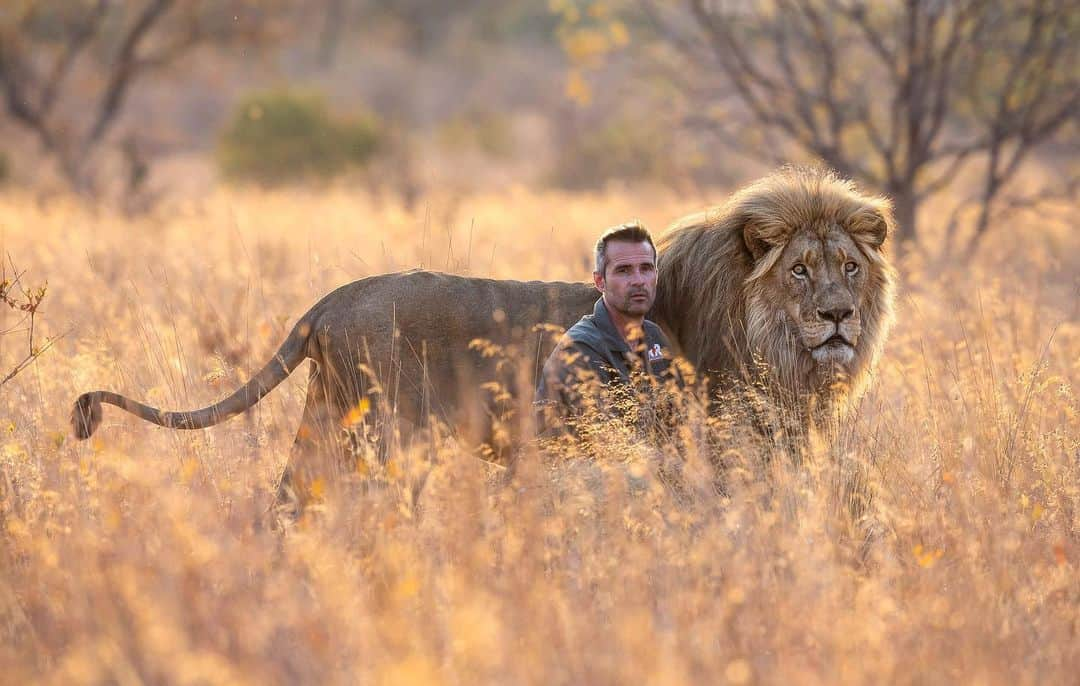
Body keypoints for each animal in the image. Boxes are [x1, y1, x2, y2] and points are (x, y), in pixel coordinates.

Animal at [67, 165, 894, 509]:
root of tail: (332, 301)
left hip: (328, 420)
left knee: (291, 493)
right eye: (801, 272)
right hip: (381, 436)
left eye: (849, 269)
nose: (837, 317)